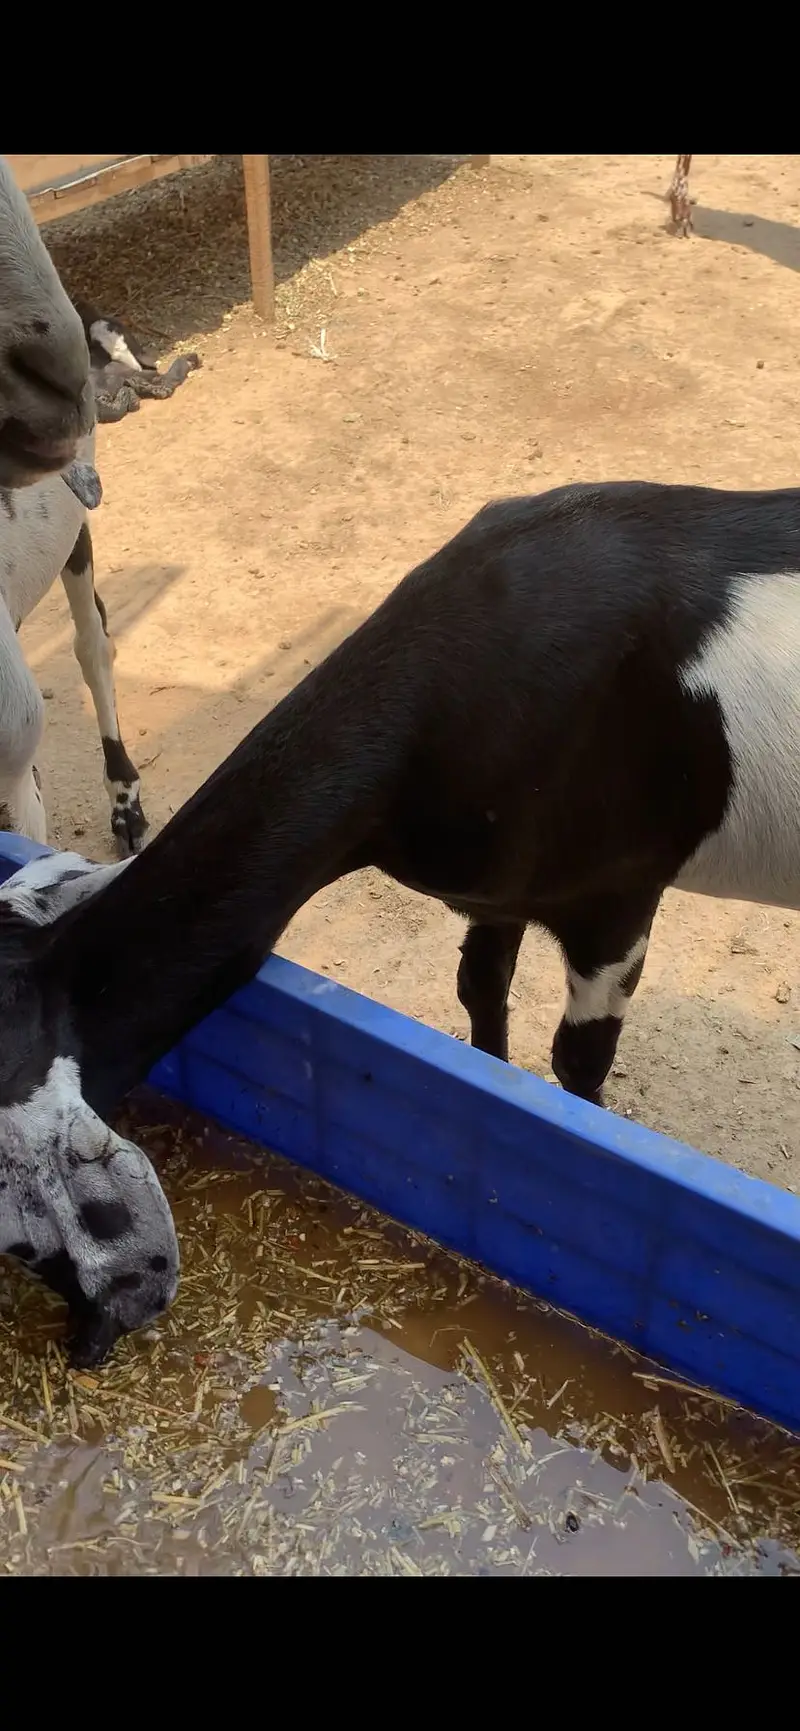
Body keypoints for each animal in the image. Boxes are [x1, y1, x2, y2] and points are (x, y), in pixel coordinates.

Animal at [3, 477, 800, 1363]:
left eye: (19, 1240)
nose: (80, 1340)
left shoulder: (617, 896)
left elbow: (579, 1061)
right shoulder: (500, 887)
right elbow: (480, 992)